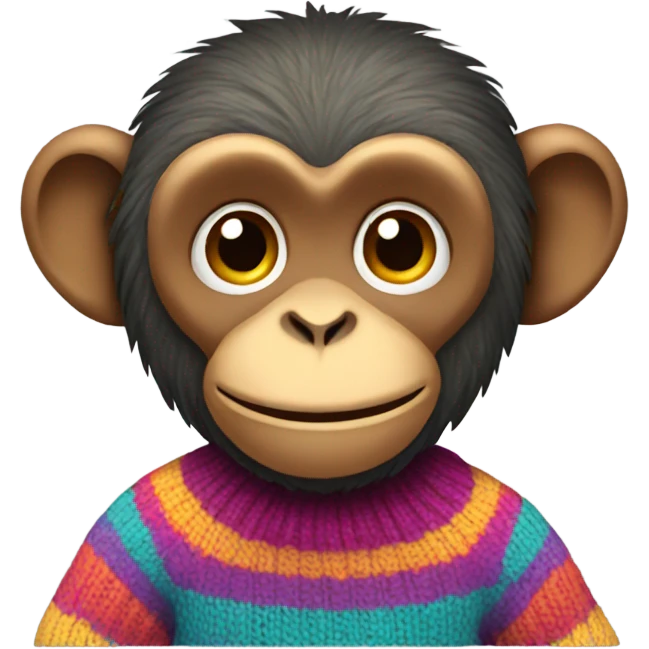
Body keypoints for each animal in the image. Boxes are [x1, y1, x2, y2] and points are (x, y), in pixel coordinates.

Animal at [24, 5, 628, 647]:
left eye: (400, 244)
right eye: (237, 245)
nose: (319, 324)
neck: (325, 511)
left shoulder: (518, 534)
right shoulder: (132, 528)